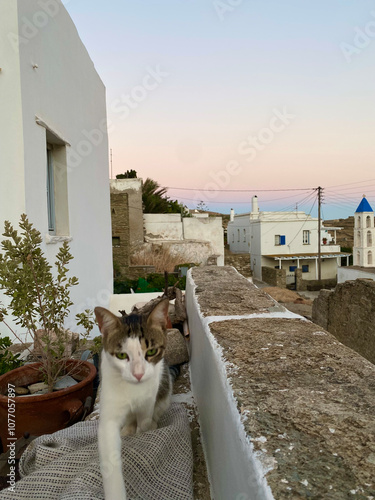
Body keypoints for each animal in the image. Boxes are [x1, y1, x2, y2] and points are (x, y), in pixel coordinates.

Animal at [94, 298, 171, 498]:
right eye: (122, 355)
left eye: (151, 352)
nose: (138, 374)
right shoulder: (109, 412)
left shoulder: (148, 401)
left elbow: (144, 422)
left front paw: (142, 433)